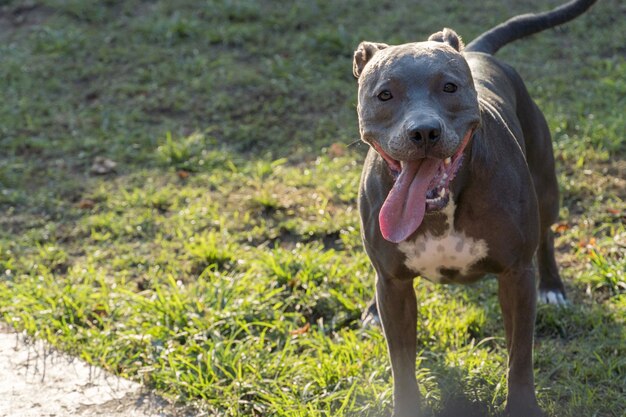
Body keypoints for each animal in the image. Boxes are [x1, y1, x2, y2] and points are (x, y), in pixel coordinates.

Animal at [356, 0, 596, 416]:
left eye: (449, 87)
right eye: (385, 95)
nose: (424, 131)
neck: (441, 207)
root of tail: (476, 50)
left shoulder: (516, 276)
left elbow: (520, 356)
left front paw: (522, 406)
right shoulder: (395, 287)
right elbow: (401, 364)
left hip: (547, 189)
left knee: (547, 235)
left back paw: (552, 287)